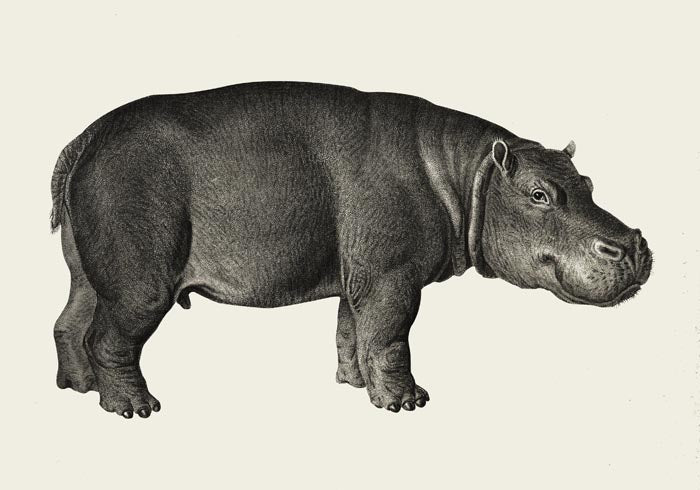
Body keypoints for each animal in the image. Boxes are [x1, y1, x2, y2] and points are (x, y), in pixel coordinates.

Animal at [50, 82, 652, 418]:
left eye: (588, 183)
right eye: (539, 194)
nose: (633, 244)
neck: (469, 173)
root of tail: (86, 138)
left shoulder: (359, 273)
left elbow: (352, 331)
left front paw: (354, 385)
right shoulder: (393, 278)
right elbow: (389, 336)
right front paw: (408, 404)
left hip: (88, 271)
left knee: (69, 323)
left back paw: (78, 389)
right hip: (140, 282)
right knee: (111, 338)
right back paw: (135, 409)